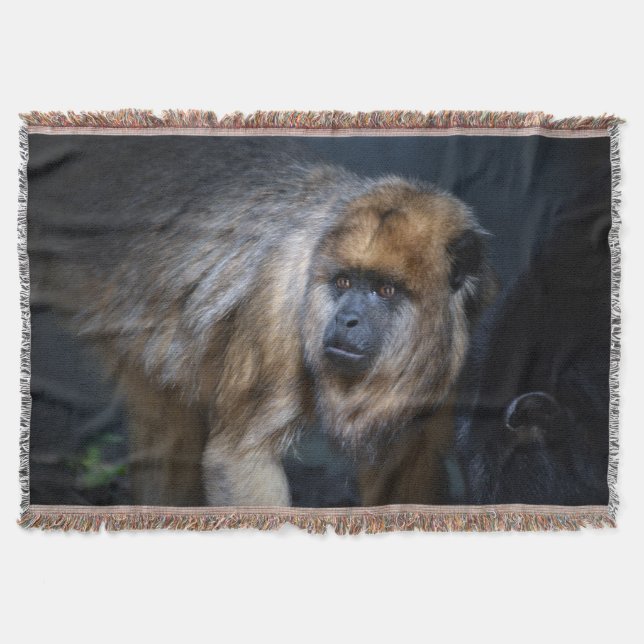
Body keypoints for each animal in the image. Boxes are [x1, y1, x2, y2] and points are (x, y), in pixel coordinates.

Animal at [27, 135, 495, 507]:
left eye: (385, 291)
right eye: (343, 282)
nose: (347, 320)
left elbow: (411, 460)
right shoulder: (277, 305)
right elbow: (240, 458)